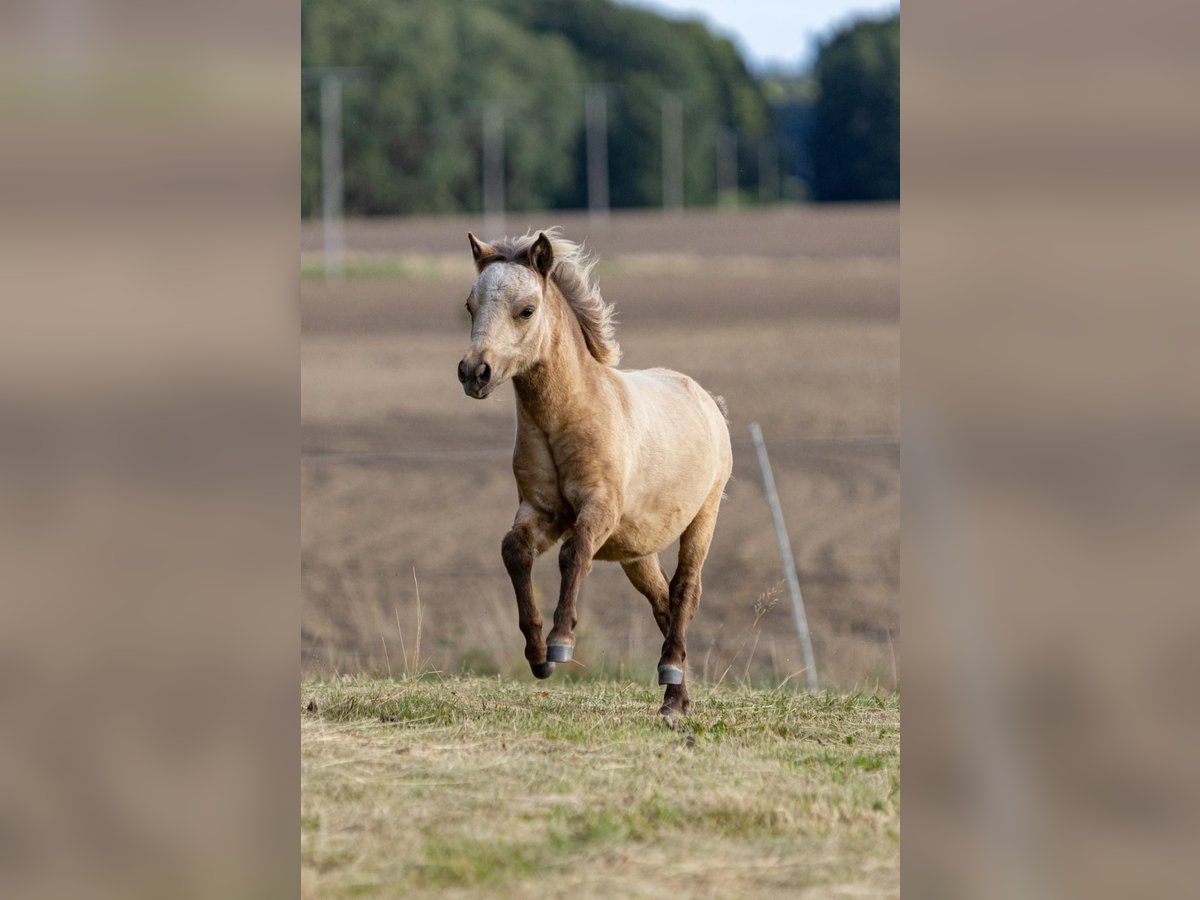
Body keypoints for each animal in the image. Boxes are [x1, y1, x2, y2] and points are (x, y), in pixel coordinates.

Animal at [456, 228, 732, 718]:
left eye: (526, 309)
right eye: (470, 305)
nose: (474, 372)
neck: (566, 416)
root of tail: (708, 402)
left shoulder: (598, 507)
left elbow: (574, 554)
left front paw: (561, 642)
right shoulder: (541, 511)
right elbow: (515, 552)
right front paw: (537, 655)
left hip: (703, 518)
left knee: (685, 590)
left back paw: (672, 684)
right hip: (637, 551)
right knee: (663, 602)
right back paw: (675, 694)